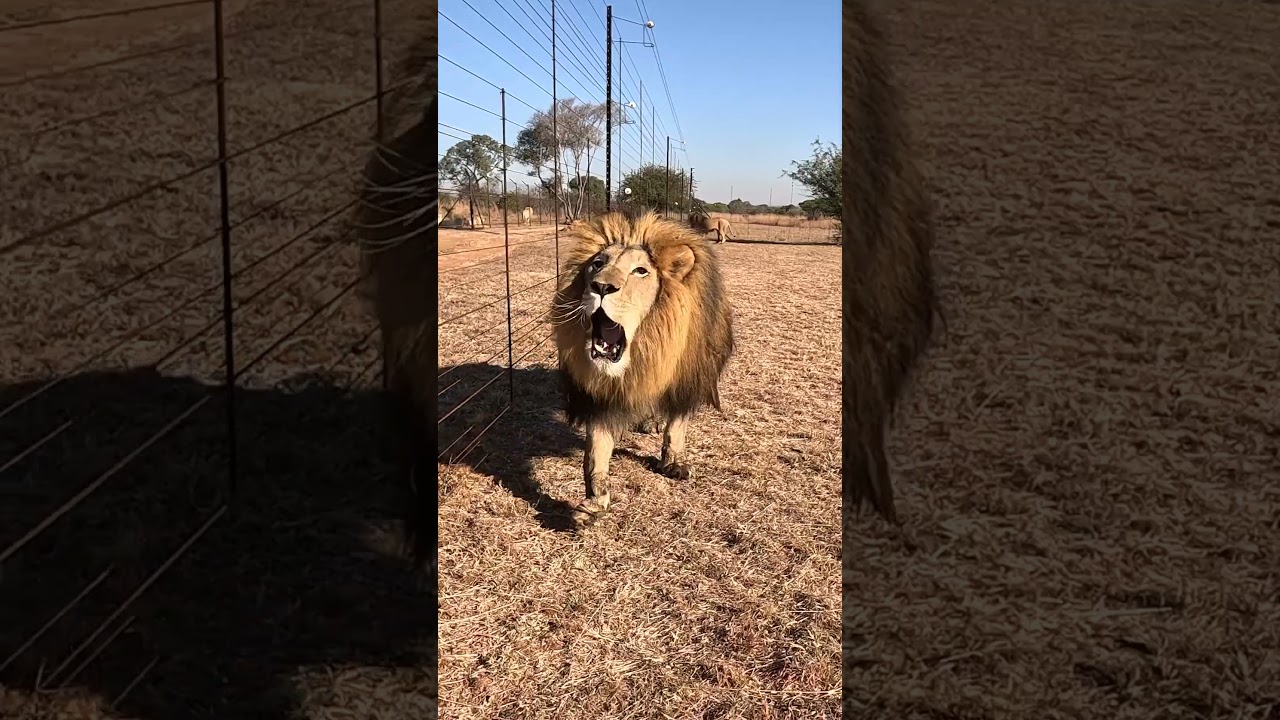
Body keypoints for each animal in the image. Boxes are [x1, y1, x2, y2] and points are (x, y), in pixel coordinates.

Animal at [551, 211, 735, 526]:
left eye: (640, 271)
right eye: (597, 265)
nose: (601, 287)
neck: (646, 348)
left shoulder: (685, 381)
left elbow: (676, 428)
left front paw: (674, 463)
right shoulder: (601, 395)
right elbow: (596, 451)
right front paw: (594, 502)